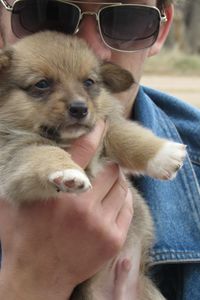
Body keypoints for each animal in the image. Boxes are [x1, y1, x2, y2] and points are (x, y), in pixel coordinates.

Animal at [0, 31, 186, 298]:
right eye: (42, 84)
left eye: (89, 82)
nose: (80, 108)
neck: (68, 140)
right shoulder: (16, 155)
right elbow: (45, 153)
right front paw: (69, 172)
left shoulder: (106, 126)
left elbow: (129, 137)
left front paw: (164, 154)